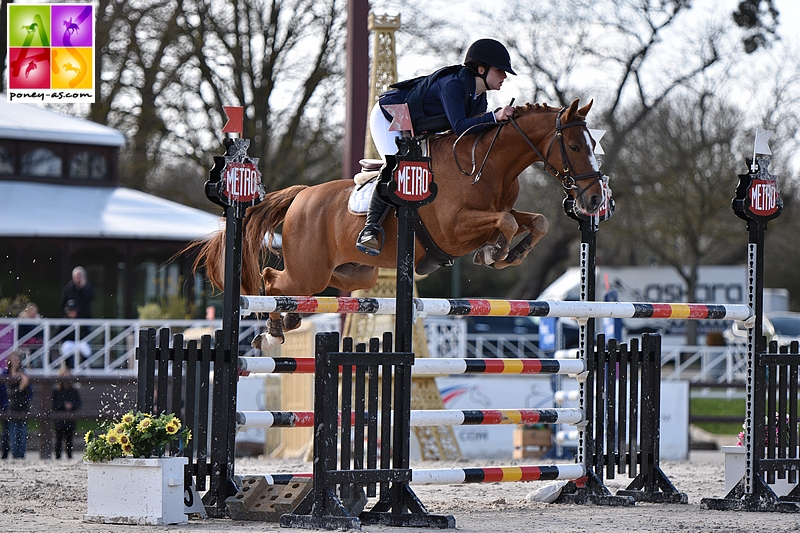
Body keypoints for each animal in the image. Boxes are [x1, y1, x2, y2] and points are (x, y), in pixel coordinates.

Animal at [197, 100, 604, 348]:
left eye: (592, 145)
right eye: (575, 146)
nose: (595, 201)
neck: (488, 165)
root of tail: (302, 195)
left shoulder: (499, 212)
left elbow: (537, 221)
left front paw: (510, 253)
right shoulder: (454, 229)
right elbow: (504, 222)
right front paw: (495, 252)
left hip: (355, 272)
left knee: (305, 284)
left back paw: (291, 317)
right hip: (309, 270)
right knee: (270, 279)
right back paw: (272, 332)